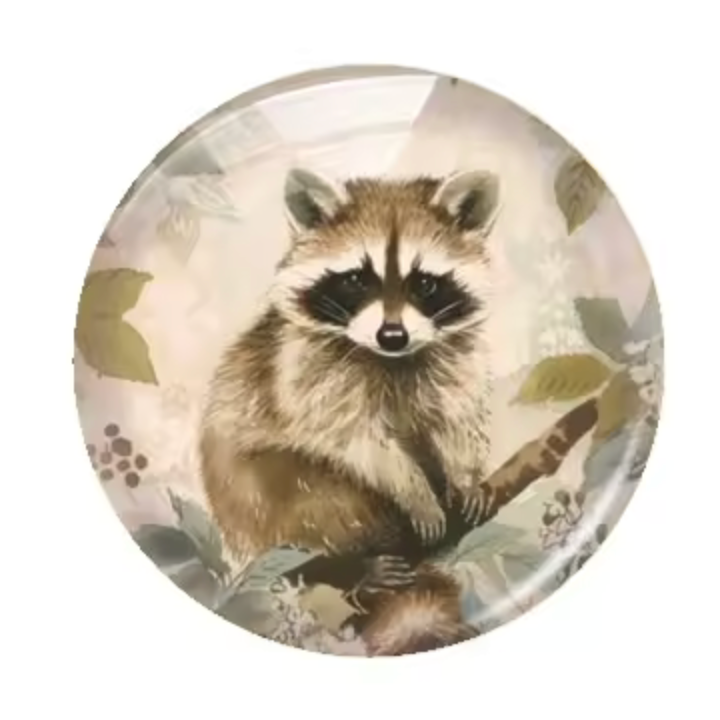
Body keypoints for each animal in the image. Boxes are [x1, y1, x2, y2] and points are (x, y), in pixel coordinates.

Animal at [200, 167, 501, 654]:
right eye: (358, 279)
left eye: (425, 283)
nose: (392, 335)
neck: (392, 360)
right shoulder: (309, 376)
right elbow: (358, 442)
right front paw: (415, 492)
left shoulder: (453, 363)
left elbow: (456, 417)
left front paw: (465, 474)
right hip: (258, 501)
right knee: (309, 494)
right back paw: (352, 566)